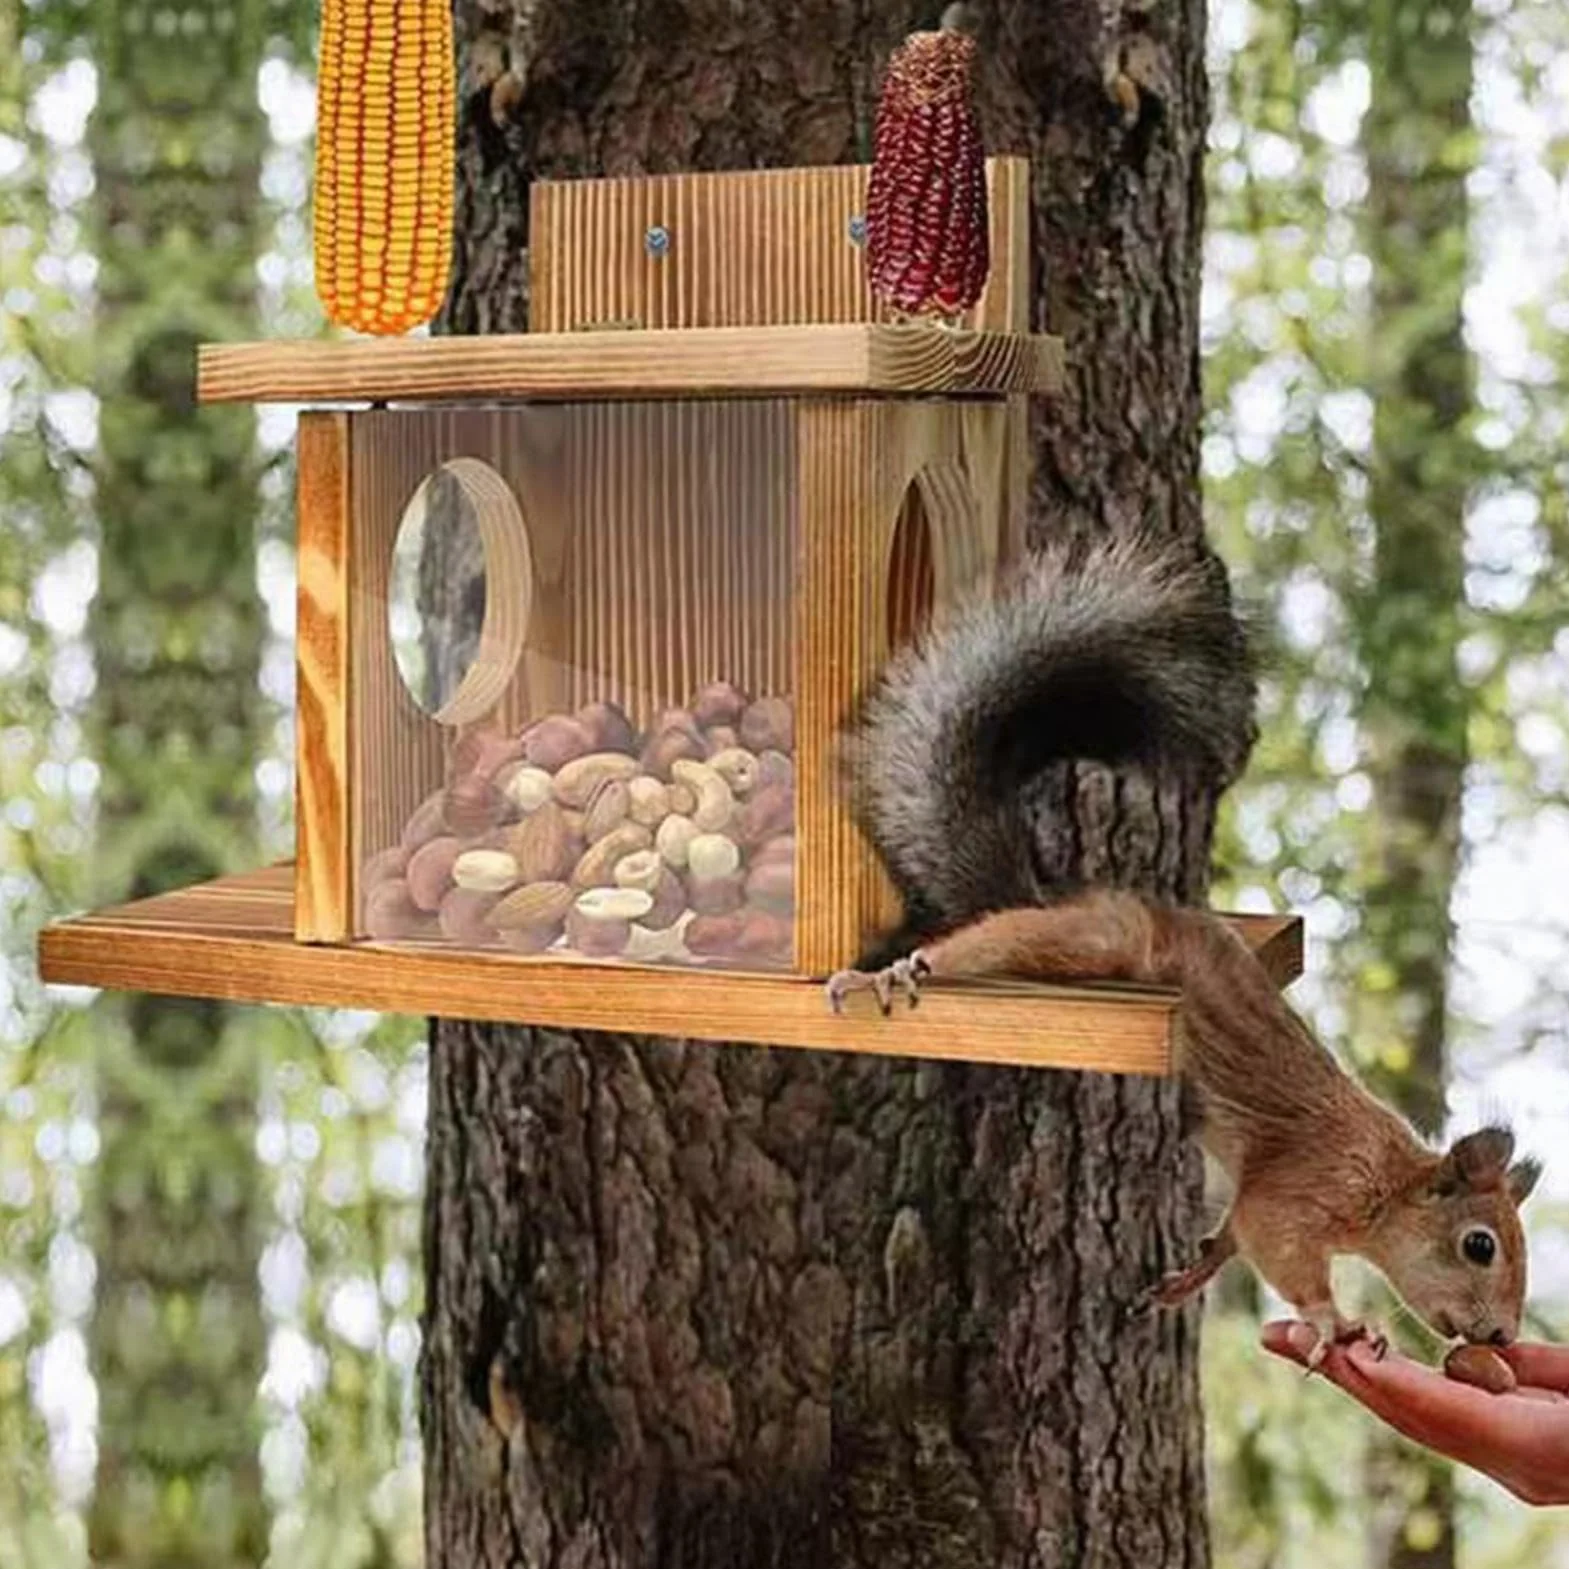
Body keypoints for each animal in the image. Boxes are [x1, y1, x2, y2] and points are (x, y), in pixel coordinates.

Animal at [825, 529, 1542, 1366]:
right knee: (990, 938)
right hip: (1100, 939)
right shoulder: (1305, 1186)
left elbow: (1232, 1233)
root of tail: (1062, 896)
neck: (1386, 1182)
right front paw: (1332, 1319)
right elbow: (1274, 1239)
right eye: (1478, 1244)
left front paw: (1190, 1277)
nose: (1500, 1333)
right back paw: (895, 973)